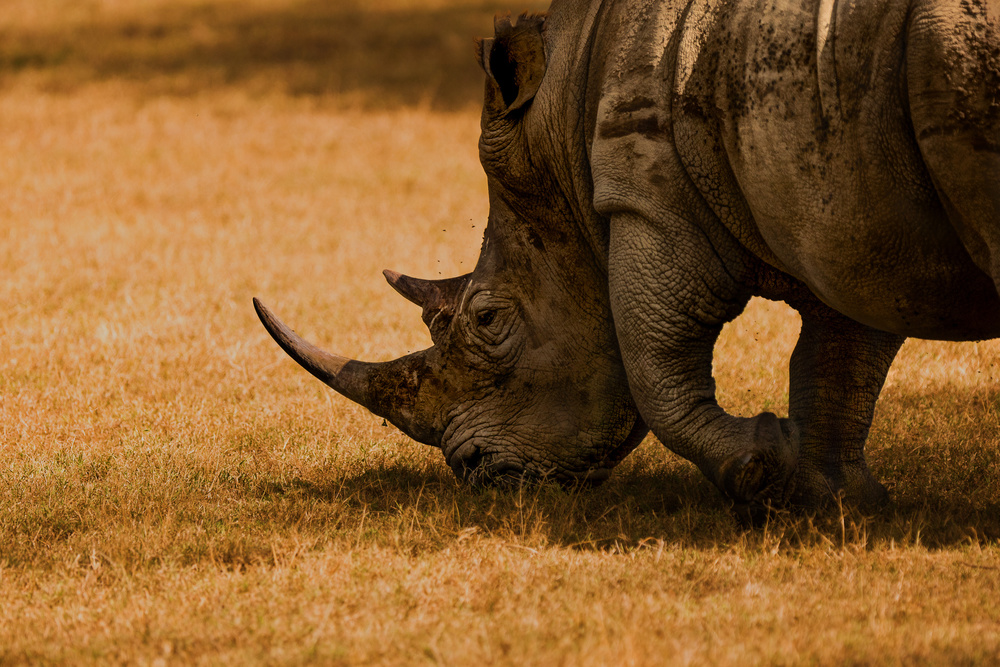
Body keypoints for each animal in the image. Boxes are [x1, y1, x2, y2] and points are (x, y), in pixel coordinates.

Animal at [254, 0, 1000, 514]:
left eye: (488, 321)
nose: (474, 471)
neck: (560, 116)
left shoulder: (646, 192)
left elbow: (653, 358)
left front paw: (761, 473)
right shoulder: (843, 207)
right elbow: (839, 356)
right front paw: (831, 498)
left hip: (949, 52)